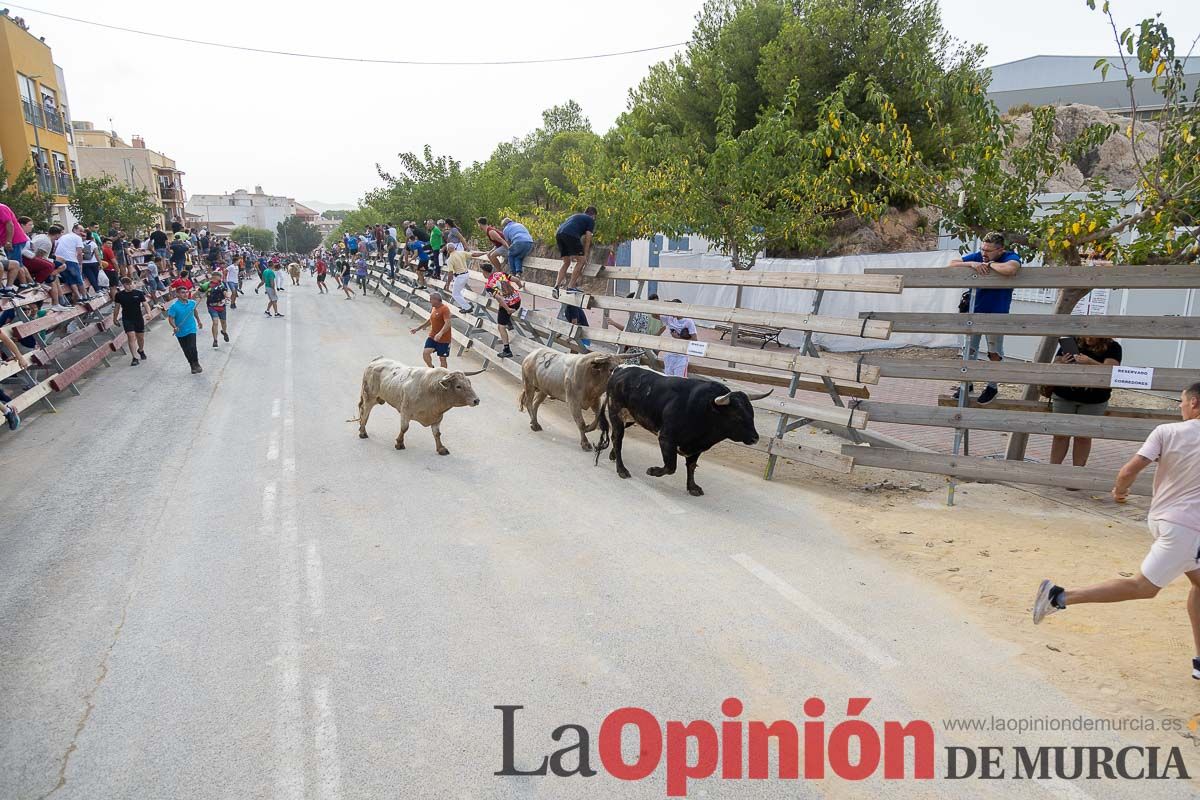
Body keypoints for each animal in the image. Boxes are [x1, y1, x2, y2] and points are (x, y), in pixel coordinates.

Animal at [595, 367, 772, 494]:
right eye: (737, 416)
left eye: (752, 414)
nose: (755, 438)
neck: (705, 409)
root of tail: (620, 370)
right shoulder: (666, 439)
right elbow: (670, 466)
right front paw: (653, 471)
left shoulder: (697, 447)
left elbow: (691, 466)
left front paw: (692, 487)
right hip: (616, 413)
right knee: (617, 438)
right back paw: (622, 470)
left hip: (630, 418)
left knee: (615, 437)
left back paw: (612, 456)